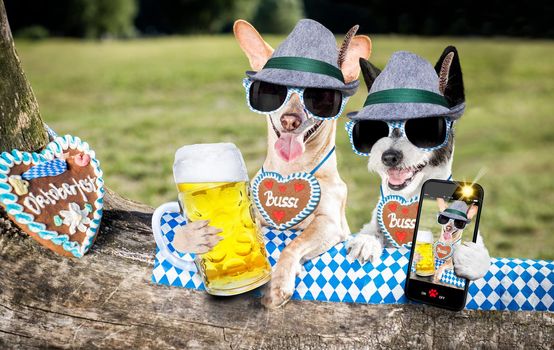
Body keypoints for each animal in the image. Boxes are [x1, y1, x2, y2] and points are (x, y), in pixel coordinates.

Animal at [342, 47, 490, 282]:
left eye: (424, 127)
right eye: (374, 129)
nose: (389, 157)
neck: (409, 198)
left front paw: (473, 259)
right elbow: (371, 230)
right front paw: (367, 241)